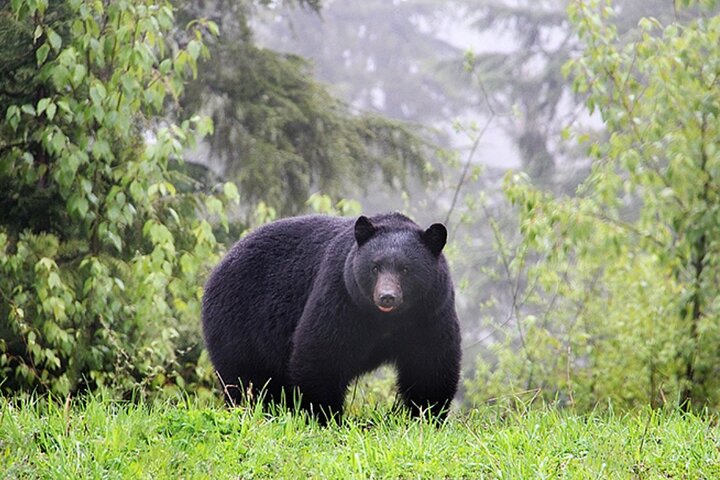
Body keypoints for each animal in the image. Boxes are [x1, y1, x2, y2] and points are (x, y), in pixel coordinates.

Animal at [201, 212, 461, 423]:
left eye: (406, 269)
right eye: (375, 267)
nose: (387, 297)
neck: (387, 320)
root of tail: (218, 267)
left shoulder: (430, 313)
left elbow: (429, 364)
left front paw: (426, 416)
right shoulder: (341, 295)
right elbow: (322, 353)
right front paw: (324, 416)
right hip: (238, 322)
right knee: (246, 377)